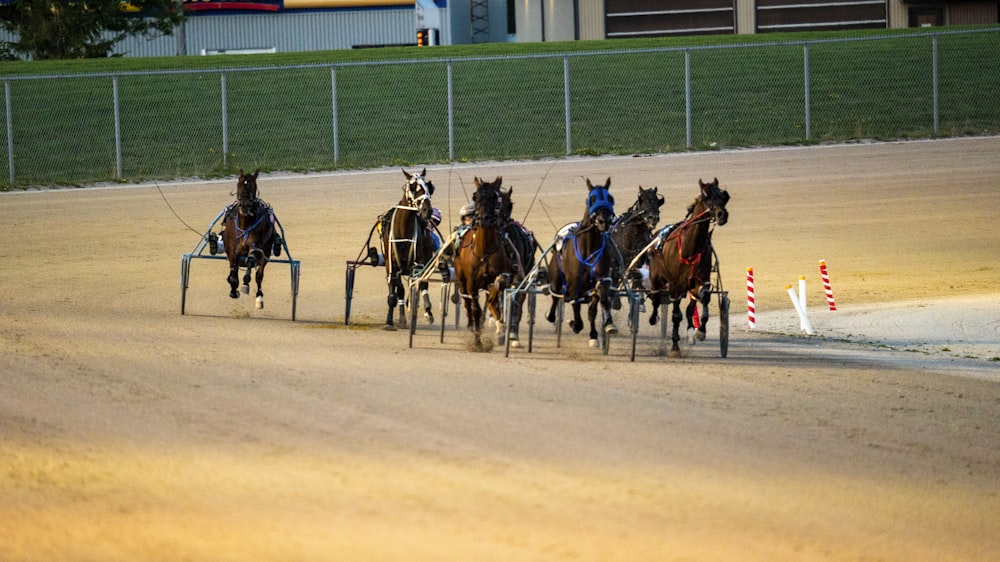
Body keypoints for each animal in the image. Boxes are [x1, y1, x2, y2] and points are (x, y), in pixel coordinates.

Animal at [222, 168, 280, 308]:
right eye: (239, 184)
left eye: (254, 186)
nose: (244, 205)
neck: (245, 225)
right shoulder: (233, 248)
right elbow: (234, 267)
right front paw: (233, 288)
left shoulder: (258, 247)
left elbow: (251, 260)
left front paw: (245, 283)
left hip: (267, 251)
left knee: (259, 274)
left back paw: (259, 296)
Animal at [378, 168, 438, 330]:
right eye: (412, 187)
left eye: (429, 186)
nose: (427, 210)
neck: (403, 231)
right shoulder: (391, 265)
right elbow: (395, 292)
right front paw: (391, 320)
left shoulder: (418, 262)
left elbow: (419, 283)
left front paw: (426, 312)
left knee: (421, 283)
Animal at [456, 177, 516, 348]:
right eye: (475, 196)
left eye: (494, 196)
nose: (483, 218)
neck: (484, 250)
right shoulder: (472, 282)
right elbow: (475, 308)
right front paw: (477, 341)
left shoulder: (500, 275)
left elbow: (497, 288)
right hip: (461, 279)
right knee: (467, 302)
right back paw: (472, 325)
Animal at [548, 177, 616, 348]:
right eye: (592, 199)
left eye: (610, 198)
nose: (604, 222)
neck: (589, 246)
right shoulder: (574, 283)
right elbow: (575, 305)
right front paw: (574, 324)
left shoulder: (600, 278)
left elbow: (598, 305)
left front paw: (600, 330)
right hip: (556, 278)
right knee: (555, 296)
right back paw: (552, 316)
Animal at [644, 177, 732, 356]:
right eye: (706, 197)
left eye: (723, 196)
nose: (722, 215)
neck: (690, 247)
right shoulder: (675, 285)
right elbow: (676, 315)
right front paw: (675, 345)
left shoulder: (701, 281)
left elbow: (703, 301)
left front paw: (700, 332)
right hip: (657, 278)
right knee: (656, 299)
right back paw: (653, 318)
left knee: (690, 309)